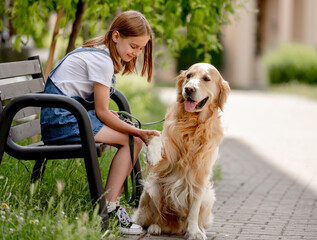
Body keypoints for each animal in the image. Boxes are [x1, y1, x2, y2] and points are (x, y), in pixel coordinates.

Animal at [132, 62, 228, 239]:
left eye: (206, 79)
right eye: (189, 76)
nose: (188, 89)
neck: (193, 125)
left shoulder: (200, 175)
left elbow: (194, 210)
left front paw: (194, 231)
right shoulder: (167, 156)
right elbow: (155, 137)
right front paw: (152, 155)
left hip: (208, 196)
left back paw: (199, 229)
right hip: (152, 188)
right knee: (154, 217)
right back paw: (154, 227)